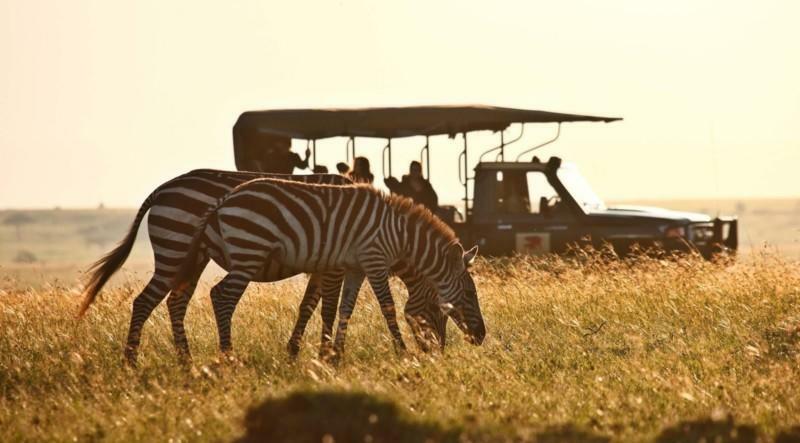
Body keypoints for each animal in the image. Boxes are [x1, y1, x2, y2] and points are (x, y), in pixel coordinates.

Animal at [78, 169, 446, 364]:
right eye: (440, 310)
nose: (439, 352)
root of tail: (161, 189)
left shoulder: (322, 264)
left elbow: (308, 306)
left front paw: (296, 351)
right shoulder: (334, 265)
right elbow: (327, 307)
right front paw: (324, 353)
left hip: (192, 259)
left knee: (174, 302)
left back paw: (186, 361)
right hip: (177, 249)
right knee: (147, 301)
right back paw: (132, 361)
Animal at [173, 177, 488, 360]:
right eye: (469, 295)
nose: (481, 337)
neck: (401, 236)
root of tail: (224, 199)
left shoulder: (355, 267)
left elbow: (346, 308)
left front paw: (337, 354)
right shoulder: (374, 261)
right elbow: (387, 307)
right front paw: (402, 351)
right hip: (248, 252)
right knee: (222, 297)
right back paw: (228, 356)